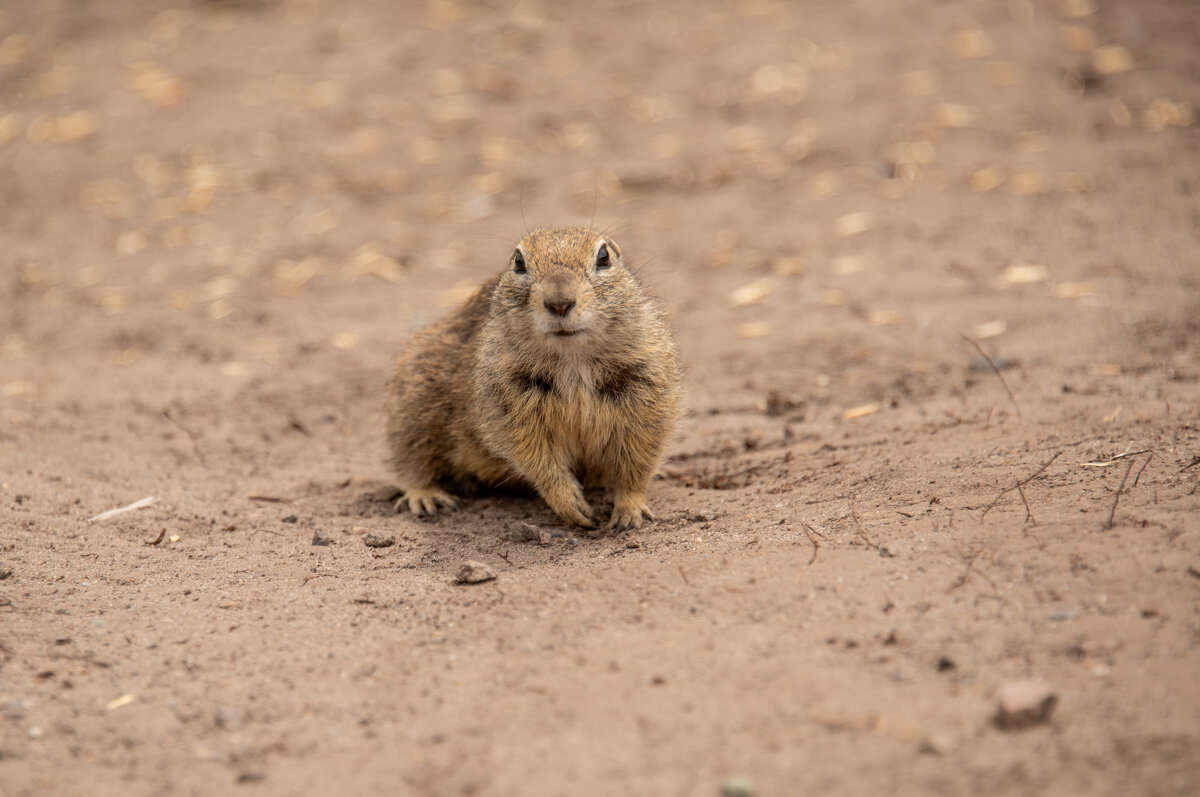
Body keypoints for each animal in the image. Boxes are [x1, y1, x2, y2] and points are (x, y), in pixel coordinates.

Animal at [388, 225, 681, 528]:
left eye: (604, 257)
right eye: (519, 261)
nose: (559, 303)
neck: (572, 358)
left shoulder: (647, 388)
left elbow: (638, 459)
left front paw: (628, 512)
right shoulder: (509, 403)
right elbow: (537, 459)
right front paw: (572, 505)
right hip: (413, 407)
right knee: (411, 462)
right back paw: (426, 497)